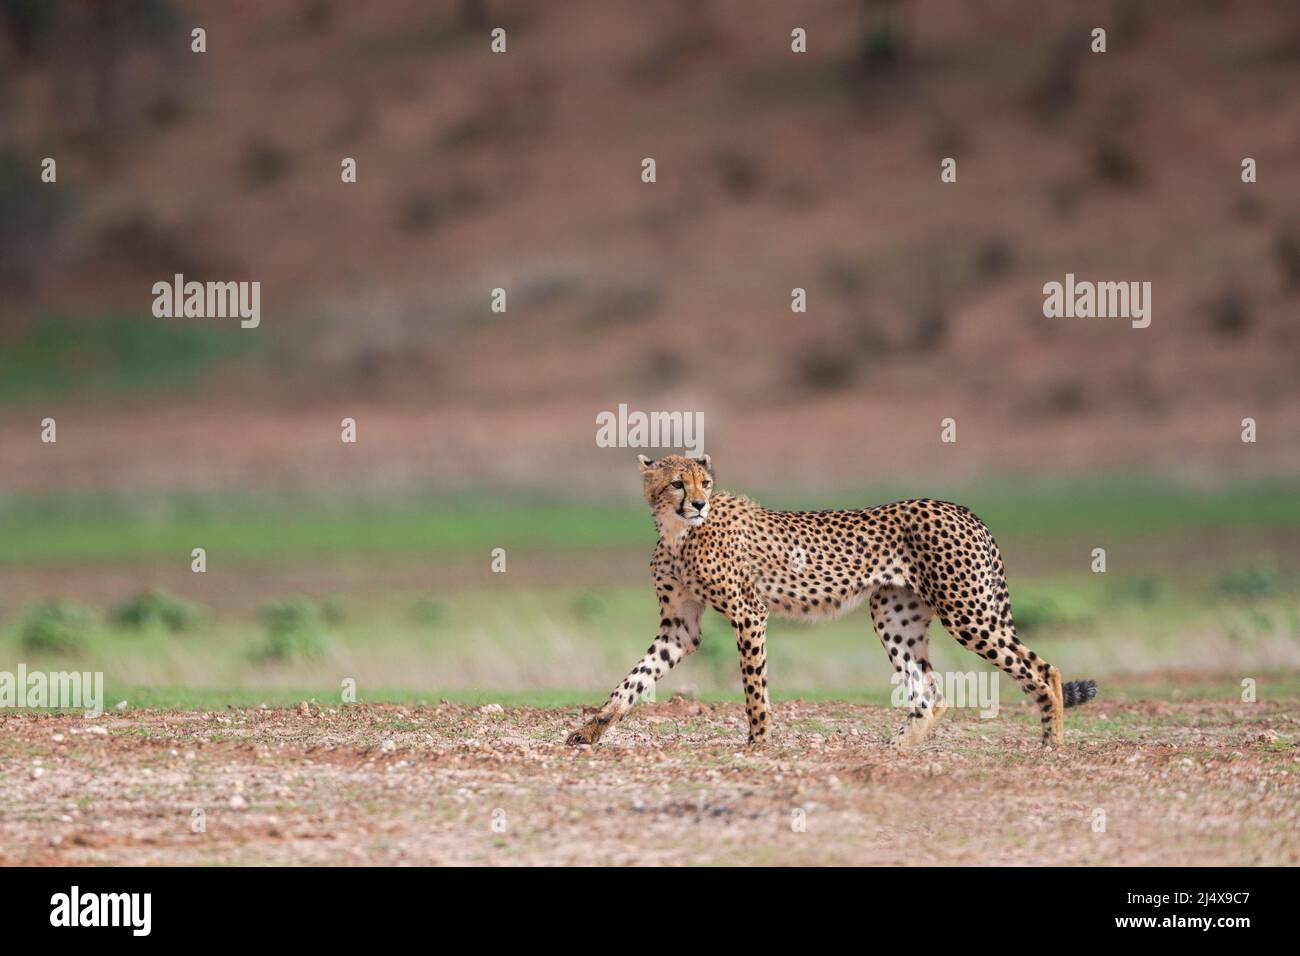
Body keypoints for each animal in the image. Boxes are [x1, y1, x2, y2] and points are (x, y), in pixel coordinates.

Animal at [564, 457, 1092, 754]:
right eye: (677, 483)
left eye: (705, 483)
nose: (697, 504)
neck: (678, 533)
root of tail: (963, 509)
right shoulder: (680, 626)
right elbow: (634, 680)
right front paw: (591, 730)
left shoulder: (748, 612)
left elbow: (753, 686)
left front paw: (758, 742)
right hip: (895, 615)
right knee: (930, 694)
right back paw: (892, 750)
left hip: (968, 611)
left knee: (1043, 669)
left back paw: (1050, 744)